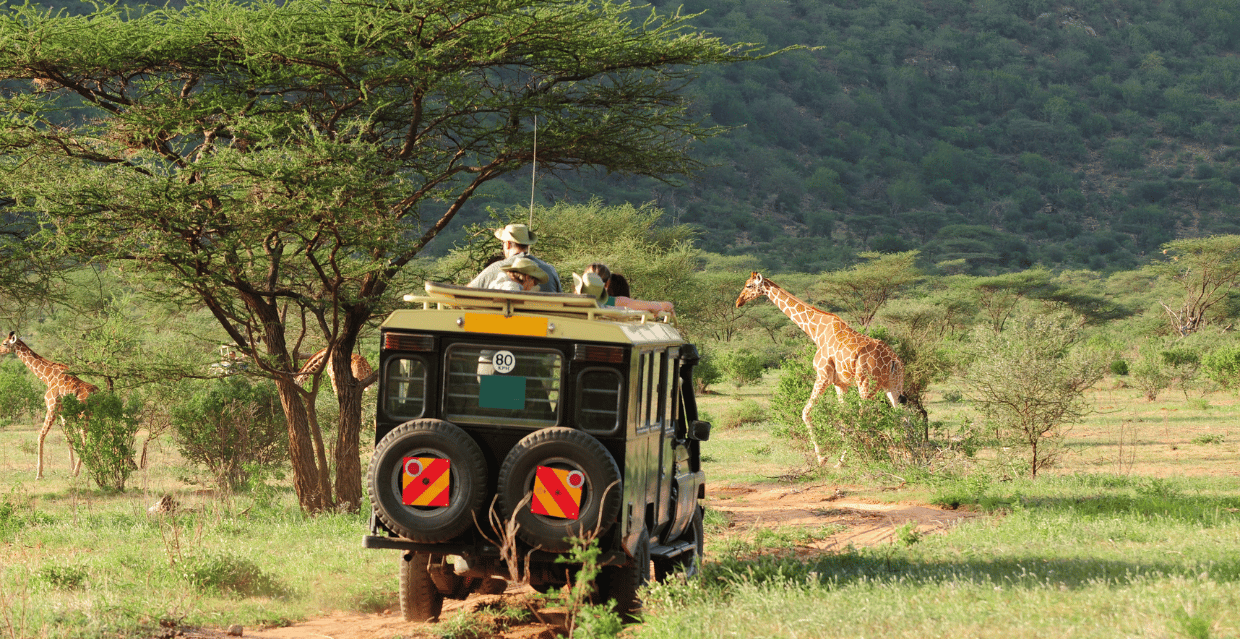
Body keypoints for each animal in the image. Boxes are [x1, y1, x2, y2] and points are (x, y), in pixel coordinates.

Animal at [0, 332, 98, 479]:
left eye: (5, 343)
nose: (0, 351)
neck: (46, 377)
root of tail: (97, 393)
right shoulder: (63, 412)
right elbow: (68, 439)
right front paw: (70, 468)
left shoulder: (52, 407)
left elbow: (41, 436)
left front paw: (39, 474)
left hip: (84, 416)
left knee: (85, 440)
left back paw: (79, 471)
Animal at [735, 273, 905, 465]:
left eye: (749, 286)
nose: (738, 302)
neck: (816, 331)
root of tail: (894, 361)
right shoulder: (840, 384)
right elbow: (843, 416)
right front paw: (846, 456)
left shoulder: (823, 376)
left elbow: (805, 412)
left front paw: (823, 458)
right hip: (893, 386)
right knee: (904, 417)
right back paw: (908, 457)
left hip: (866, 384)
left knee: (865, 416)